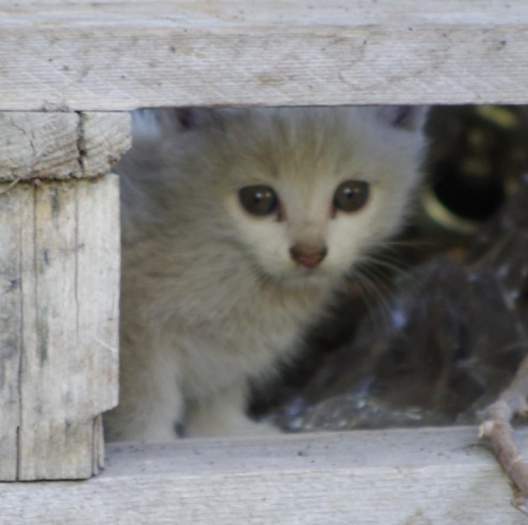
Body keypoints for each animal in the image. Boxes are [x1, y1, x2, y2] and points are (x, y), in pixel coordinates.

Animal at [105, 104, 426, 440]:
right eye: (258, 199)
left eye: (351, 195)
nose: (309, 254)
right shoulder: (135, 333)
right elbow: (145, 401)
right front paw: (152, 443)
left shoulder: (229, 349)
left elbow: (220, 390)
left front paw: (224, 431)